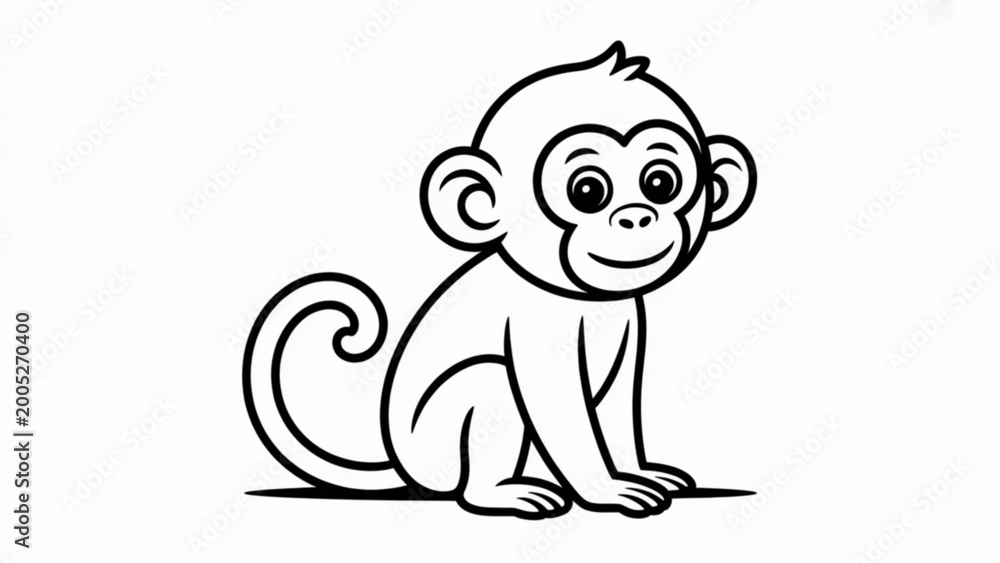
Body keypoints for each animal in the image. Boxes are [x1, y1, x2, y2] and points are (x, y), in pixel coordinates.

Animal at [243, 42, 757, 520]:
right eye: (587, 190)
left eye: (661, 183)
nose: (635, 217)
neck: (581, 297)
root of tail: (401, 463)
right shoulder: (537, 325)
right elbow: (554, 402)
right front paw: (606, 489)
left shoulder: (631, 322)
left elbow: (619, 405)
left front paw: (638, 470)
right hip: (437, 452)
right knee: (490, 378)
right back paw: (497, 492)